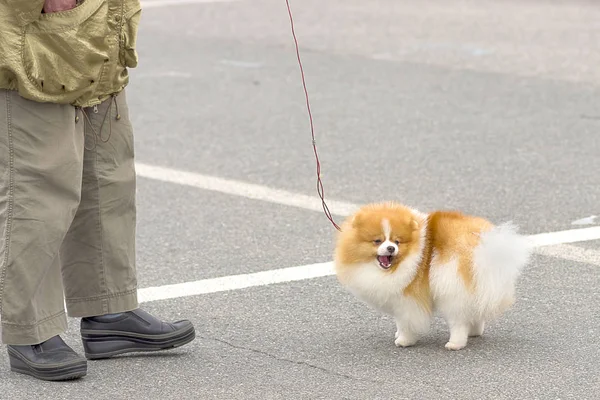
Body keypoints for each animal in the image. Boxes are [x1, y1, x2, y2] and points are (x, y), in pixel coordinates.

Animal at [336, 203, 532, 350]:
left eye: (397, 241)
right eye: (377, 241)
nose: (391, 248)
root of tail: (481, 248)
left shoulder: (408, 298)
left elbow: (406, 321)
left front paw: (404, 340)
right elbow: (399, 321)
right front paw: (399, 333)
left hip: (451, 287)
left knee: (458, 321)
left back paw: (455, 343)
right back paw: (474, 331)